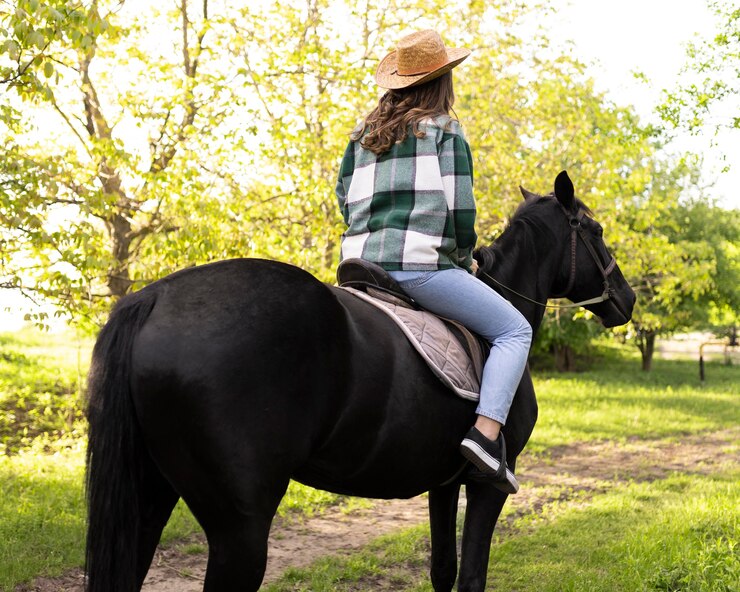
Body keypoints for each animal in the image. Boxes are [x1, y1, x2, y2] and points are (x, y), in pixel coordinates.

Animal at [84, 169, 632, 588]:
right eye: (597, 229)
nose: (626, 300)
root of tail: (155, 296)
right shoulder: (487, 485)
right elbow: (472, 577)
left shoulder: (443, 483)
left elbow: (443, 571)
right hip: (240, 528)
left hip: (151, 497)